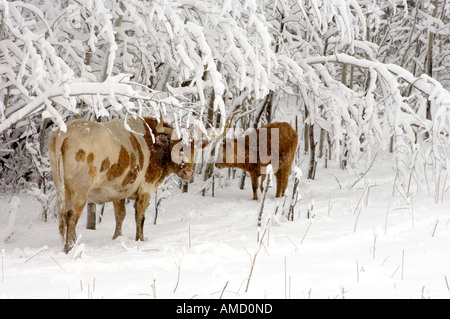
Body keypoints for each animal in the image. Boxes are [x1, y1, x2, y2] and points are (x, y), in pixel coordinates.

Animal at [48, 116, 203, 254]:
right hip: (80, 191)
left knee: (64, 215)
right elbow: (140, 217)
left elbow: (120, 215)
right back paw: (70, 248)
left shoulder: (119, 192)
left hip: (64, 189)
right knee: (71, 215)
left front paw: (117, 238)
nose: (188, 172)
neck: (153, 143)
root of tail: (65, 131)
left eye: (194, 149)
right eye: (177, 147)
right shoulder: (145, 189)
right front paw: (140, 239)